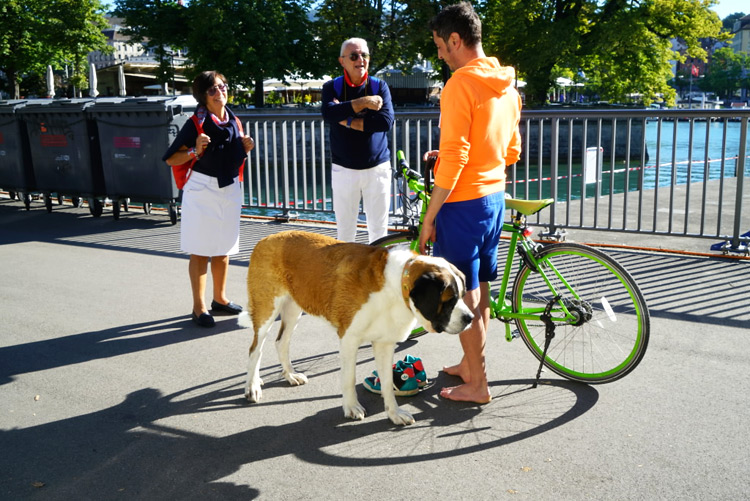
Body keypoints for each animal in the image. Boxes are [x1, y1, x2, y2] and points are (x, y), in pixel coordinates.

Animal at [239, 229, 476, 422]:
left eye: (463, 295)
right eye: (449, 300)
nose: (470, 318)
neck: (395, 286)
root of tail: (267, 238)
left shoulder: (385, 343)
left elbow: (387, 382)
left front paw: (394, 414)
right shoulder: (349, 339)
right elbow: (349, 378)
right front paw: (352, 407)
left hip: (293, 309)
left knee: (281, 342)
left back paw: (289, 375)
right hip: (266, 309)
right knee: (255, 349)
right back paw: (252, 386)